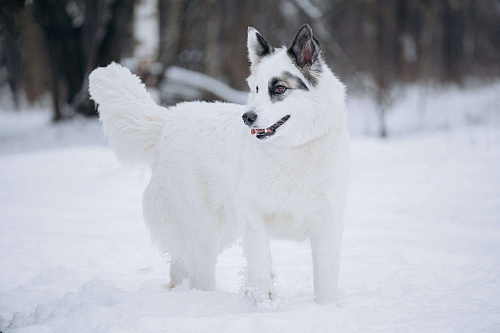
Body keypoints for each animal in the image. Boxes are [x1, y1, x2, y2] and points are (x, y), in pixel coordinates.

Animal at [89, 24, 348, 304]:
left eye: (279, 89)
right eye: (257, 89)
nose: (247, 117)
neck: (293, 150)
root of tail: (169, 120)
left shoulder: (328, 221)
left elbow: (325, 277)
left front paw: (326, 306)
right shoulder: (251, 212)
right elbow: (260, 254)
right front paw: (261, 292)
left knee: (180, 266)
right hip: (203, 230)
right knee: (198, 273)